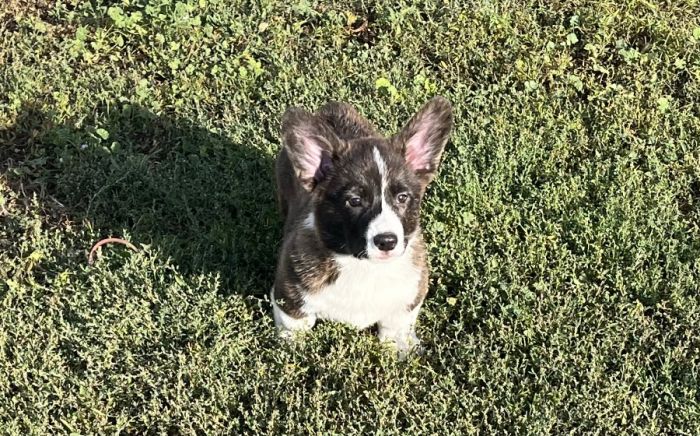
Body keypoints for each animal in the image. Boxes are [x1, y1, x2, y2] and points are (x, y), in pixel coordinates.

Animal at [268, 96, 454, 354]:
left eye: (403, 198)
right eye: (354, 201)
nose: (387, 241)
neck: (363, 266)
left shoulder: (408, 300)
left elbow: (397, 327)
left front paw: (401, 350)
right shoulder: (289, 300)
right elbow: (293, 329)